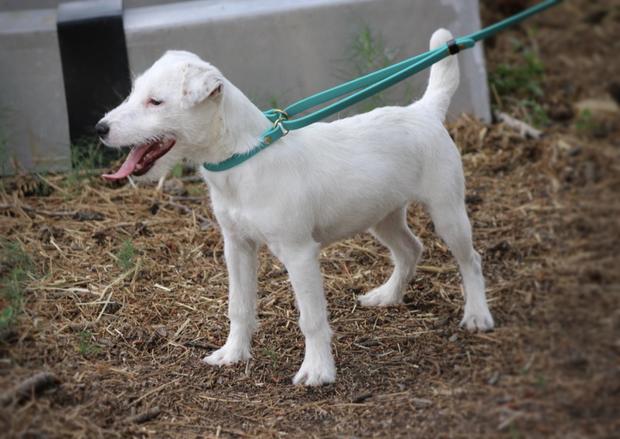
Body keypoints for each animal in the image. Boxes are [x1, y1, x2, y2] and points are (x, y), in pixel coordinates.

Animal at [97, 28, 494, 386]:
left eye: (156, 102)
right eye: (134, 93)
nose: (100, 128)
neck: (245, 158)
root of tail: (424, 111)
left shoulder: (299, 253)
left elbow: (312, 319)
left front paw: (317, 371)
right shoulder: (237, 246)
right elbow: (239, 306)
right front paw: (233, 354)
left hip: (447, 212)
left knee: (470, 260)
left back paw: (477, 314)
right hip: (383, 216)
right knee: (411, 249)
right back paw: (388, 295)